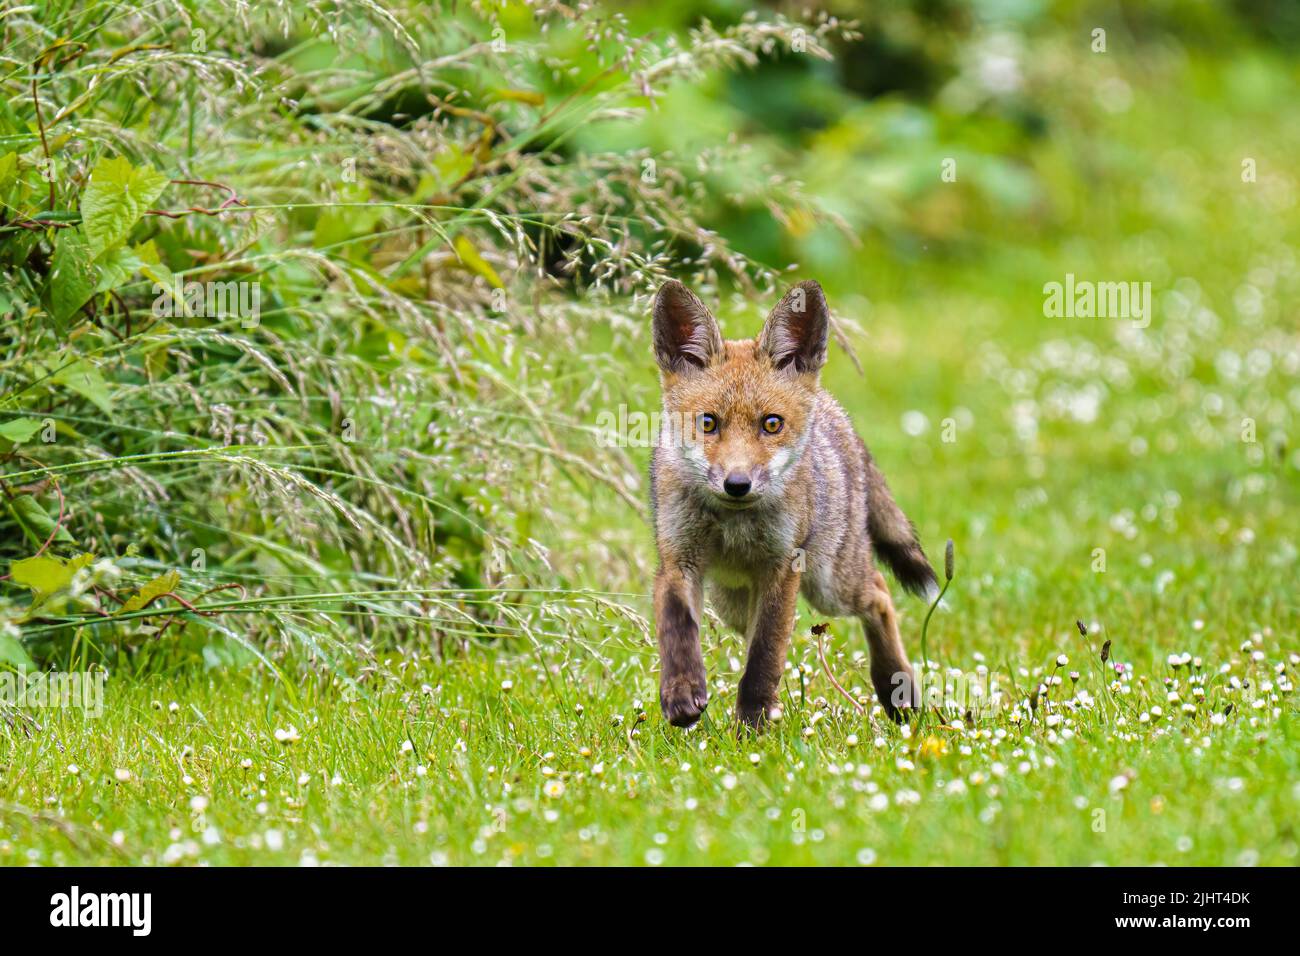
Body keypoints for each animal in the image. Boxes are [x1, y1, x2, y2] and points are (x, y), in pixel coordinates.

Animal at [650, 280, 935, 728]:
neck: (733, 525)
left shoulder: (783, 568)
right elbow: (677, 628)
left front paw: (751, 724)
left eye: (771, 424)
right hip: (730, 600)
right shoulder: (677, 560)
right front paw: (681, 694)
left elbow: (764, 654)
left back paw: (896, 690)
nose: (737, 484)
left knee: (879, 591)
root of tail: (836, 412)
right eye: (708, 423)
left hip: (829, 584)